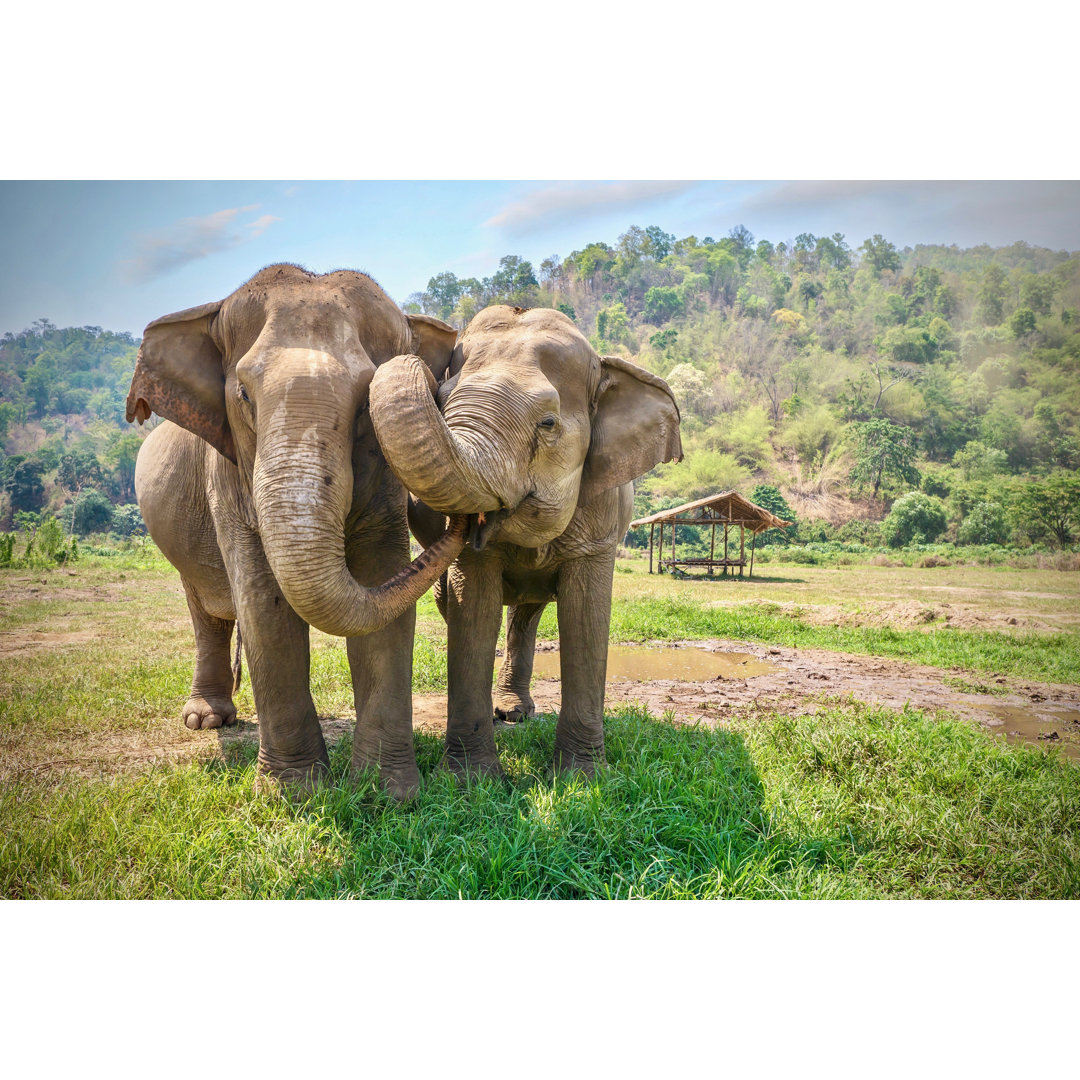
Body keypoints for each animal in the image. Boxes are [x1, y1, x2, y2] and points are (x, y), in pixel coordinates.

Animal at [123, 265, 468, 799]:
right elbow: (264, 607)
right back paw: (206, 721)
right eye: (244, 395)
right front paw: (295, 794)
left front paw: (386, 794)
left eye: (366, 404)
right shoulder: (228, 474)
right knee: (206, 611)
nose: (468, 521)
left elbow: (382, 584)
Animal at [367, 304, 678, 777]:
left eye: (547, 423)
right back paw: (507, 713)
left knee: (527, 615)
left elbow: (586, 617)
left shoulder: (602, 517)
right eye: (442, 401)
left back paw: (516, 712)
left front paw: (582, 777)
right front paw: (470, 781)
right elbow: (473, 611)